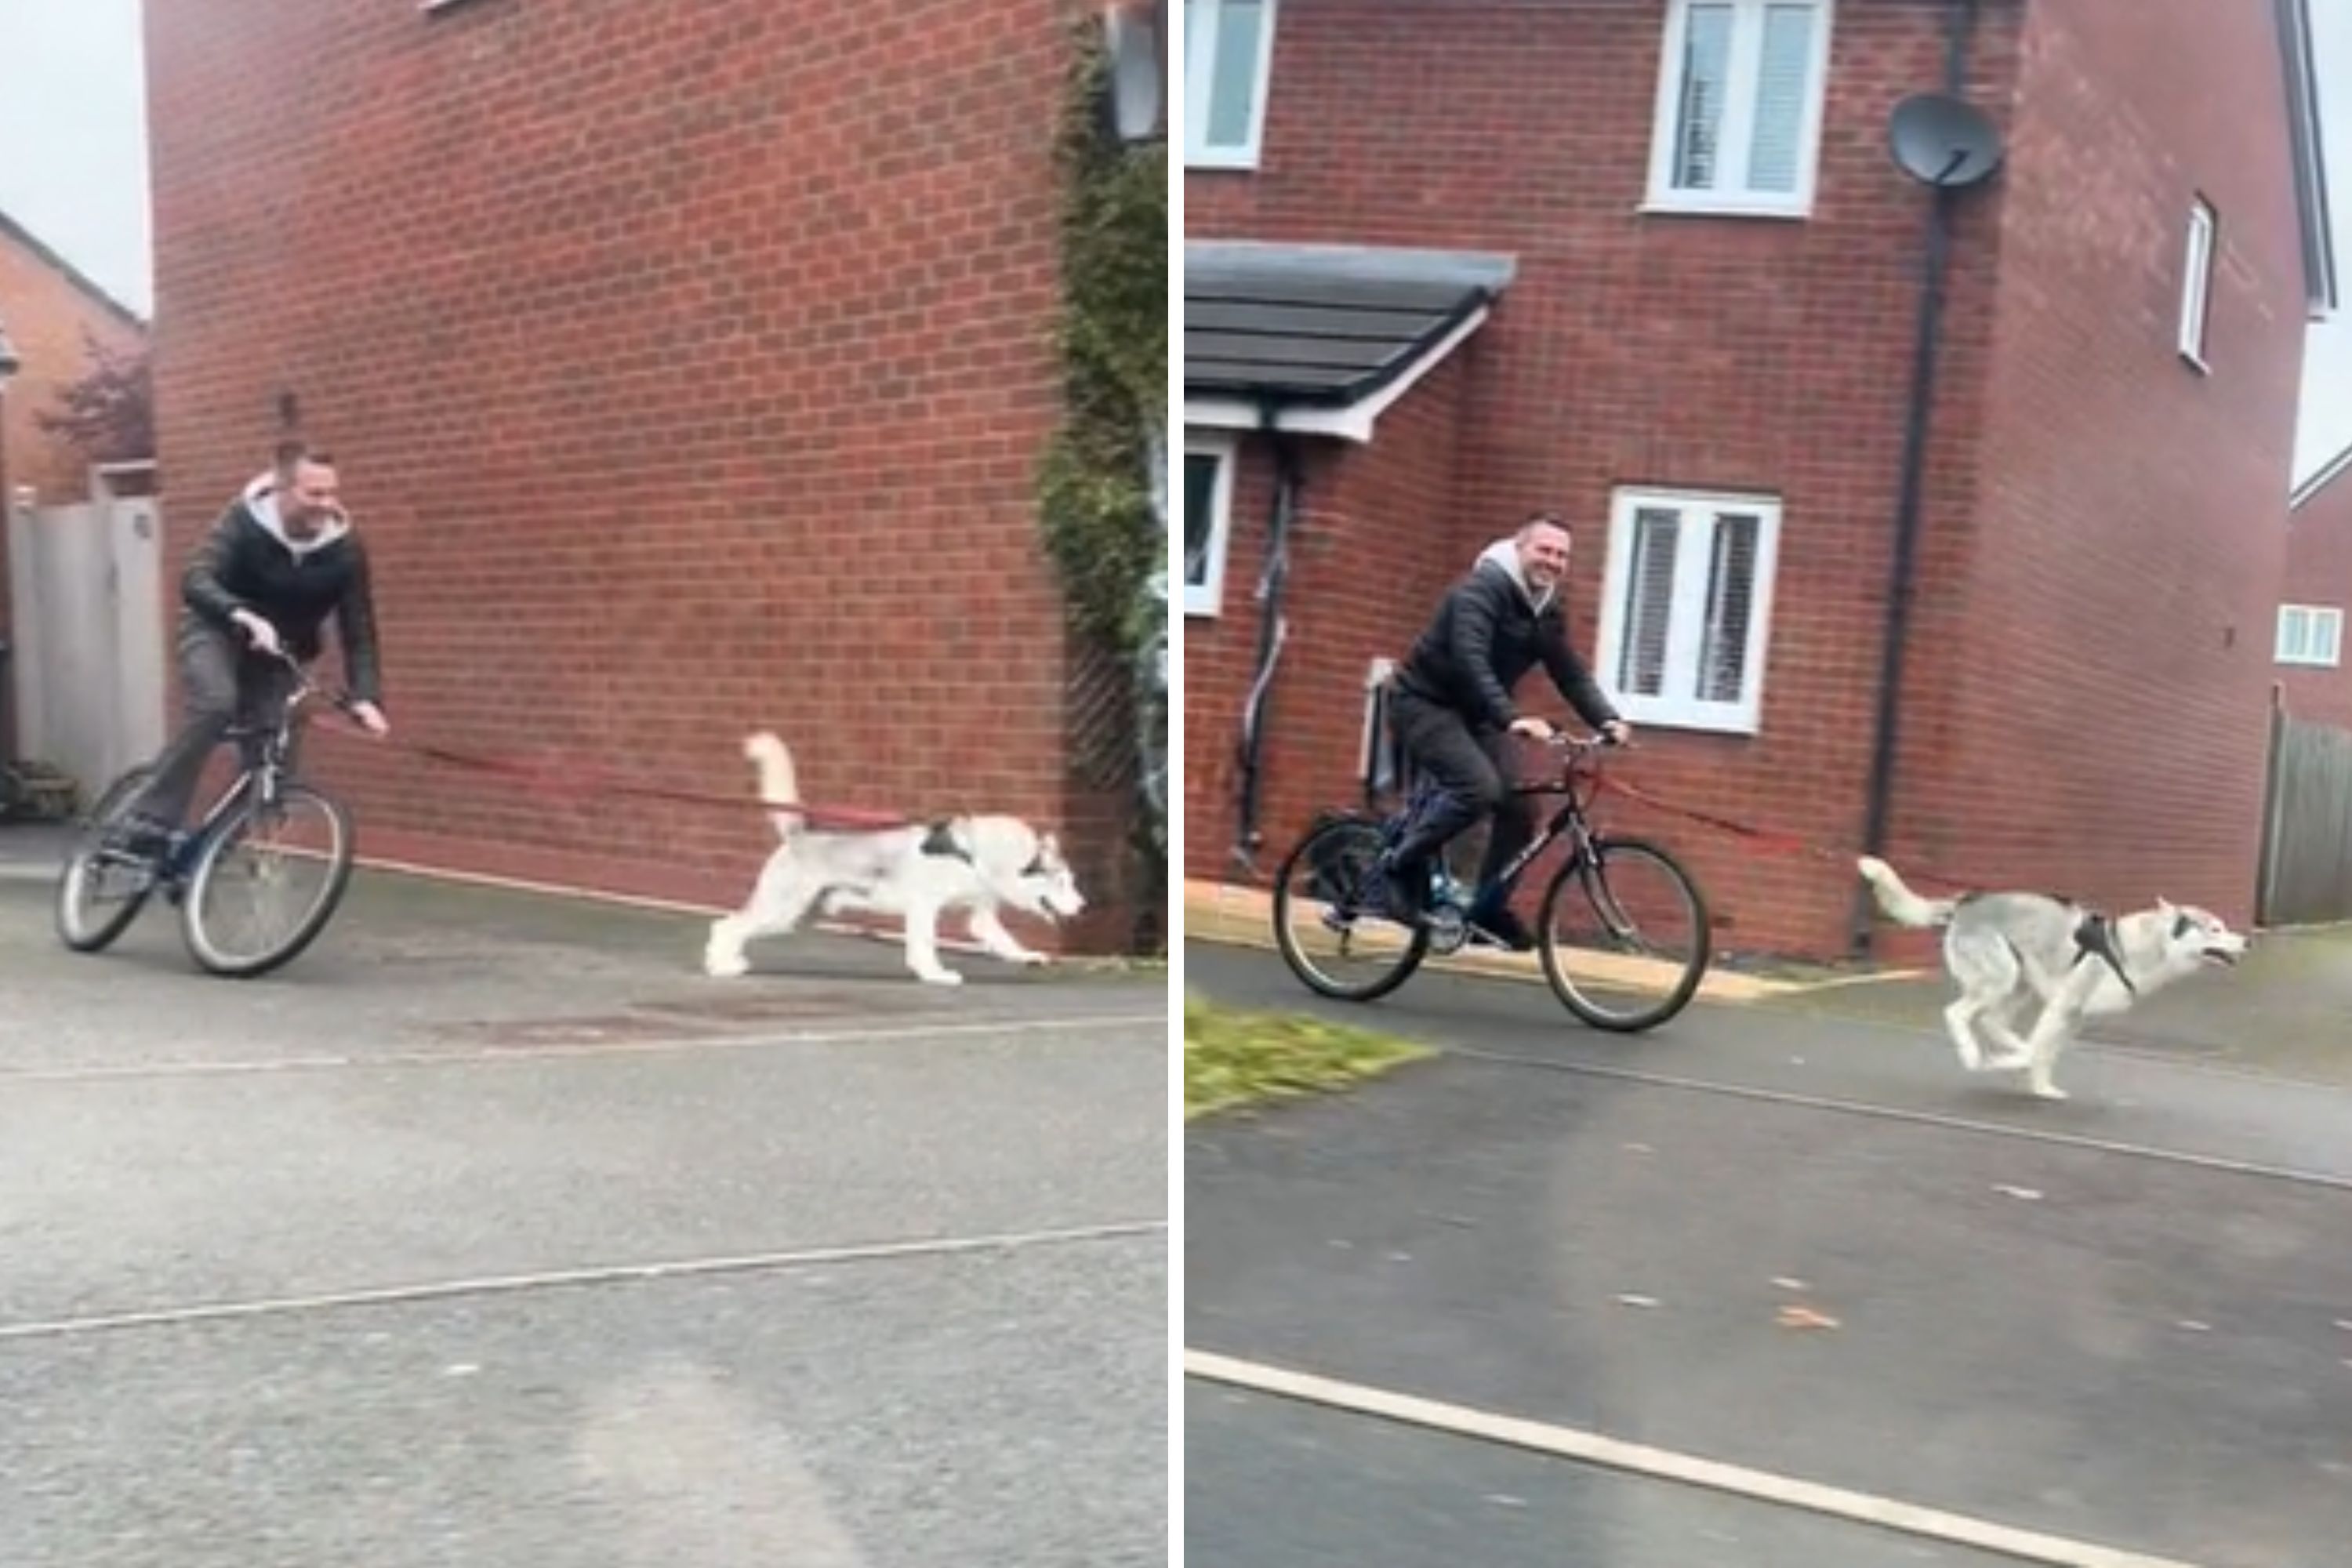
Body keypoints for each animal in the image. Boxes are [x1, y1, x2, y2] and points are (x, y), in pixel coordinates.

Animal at [701, 733, 1087, 982]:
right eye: (1062, 882)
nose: (1083, 908)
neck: (974, 855)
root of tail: (800, 832)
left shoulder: (981, 916)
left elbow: (1006, 941)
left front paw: (1028, 957)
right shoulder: (925, 907)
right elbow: (925, 944)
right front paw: (935, 974)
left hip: (792, 917)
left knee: (735, 926)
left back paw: (730, 961)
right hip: (783, 909)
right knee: (726, 926)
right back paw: (722, 966)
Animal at [1853, 860, 2239, 1105]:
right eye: (2216, 928)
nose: (2246, 941)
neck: (2124, 948)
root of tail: (1965, 901)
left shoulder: (2074, 1018)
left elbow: (2047, 1054)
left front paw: (2041, 1088)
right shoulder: (2063, 1005)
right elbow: (2040, 1051)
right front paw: (2015, 1065)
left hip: (2018, 984)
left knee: (1992, 1022)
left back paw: (2010, 1051)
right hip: (2001, 978)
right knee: (1958, 1014)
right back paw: (1975, 1054)